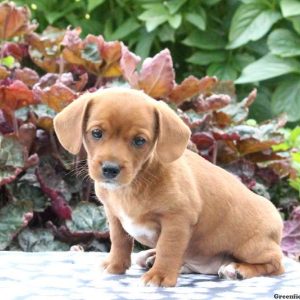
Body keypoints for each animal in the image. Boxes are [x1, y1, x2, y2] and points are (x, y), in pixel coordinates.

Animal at [53, 88, 284, 288]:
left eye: (139, 141)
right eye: (97, 133)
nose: (110, 169)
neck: (135, 183)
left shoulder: (177, 220)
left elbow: (168, 248)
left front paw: (160, 275)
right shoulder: (114, 216)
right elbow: (119, 242)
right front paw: (115, 265)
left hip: (252, 247)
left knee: (276, 263)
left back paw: (237, 269)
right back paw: (152, 258)